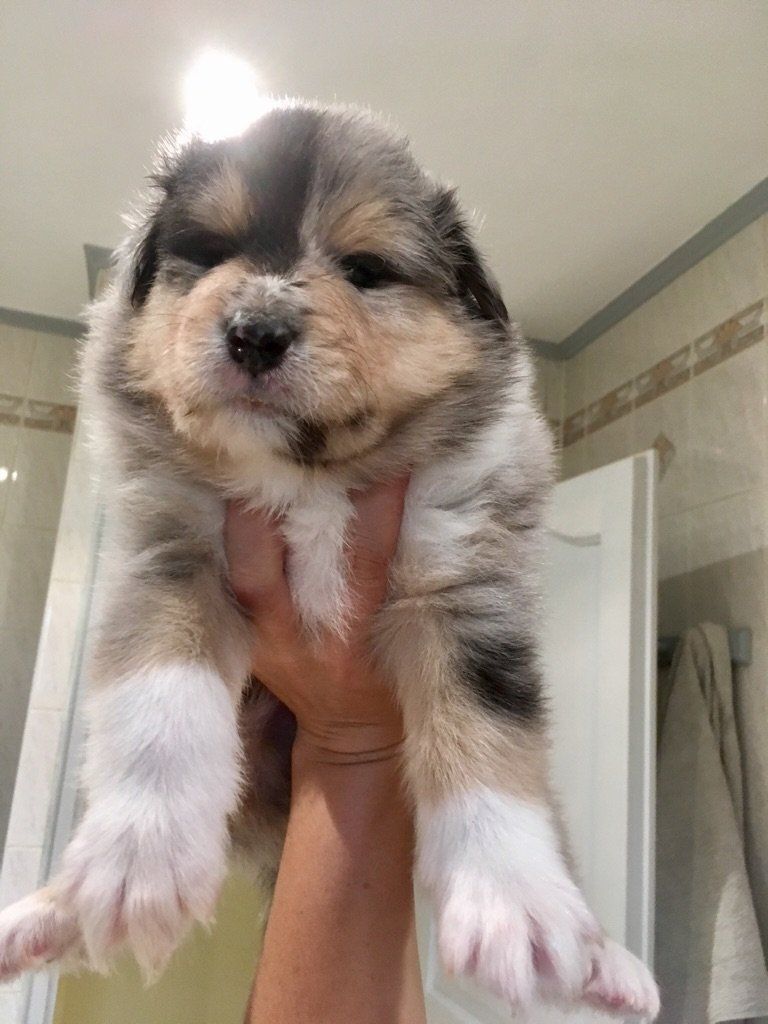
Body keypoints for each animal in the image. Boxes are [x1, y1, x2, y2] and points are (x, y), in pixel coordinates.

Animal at [0, 101, 659, 1017]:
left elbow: (489, 736)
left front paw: (511, 902)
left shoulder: (463, 581)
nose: (256, 333)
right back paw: (46, 918)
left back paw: (607, 963)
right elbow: (160, 703)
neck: (309, 478)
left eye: (366, 270)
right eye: (209, 252)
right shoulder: (171, 553)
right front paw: (141, 858)